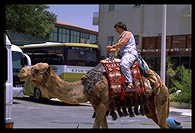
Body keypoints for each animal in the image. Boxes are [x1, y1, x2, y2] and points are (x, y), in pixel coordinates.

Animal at [18, 60, 170, 128]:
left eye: (37, 69)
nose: (22, 71)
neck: (86, 87)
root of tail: (162, 82)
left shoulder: (104, 103)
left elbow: (96, 125)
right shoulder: (96, 105)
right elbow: (103, 125)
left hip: (160, 99)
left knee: (164, 123)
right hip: (150, 106)